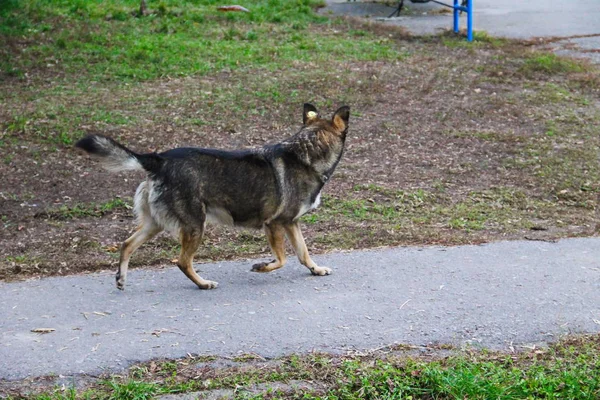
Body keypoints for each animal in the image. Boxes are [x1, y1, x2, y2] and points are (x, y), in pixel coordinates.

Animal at [75, 103, 350, 290]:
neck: (305, 153)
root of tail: (159, 159)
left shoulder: (291, 223)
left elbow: (303, 253)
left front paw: (316, 269)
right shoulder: (274, 224)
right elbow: (282, 259)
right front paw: (262, 267)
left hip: (156, 224)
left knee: (127, 244)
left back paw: (122, 278)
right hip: (195, 225)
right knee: (182, 261)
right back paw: (203, 283)